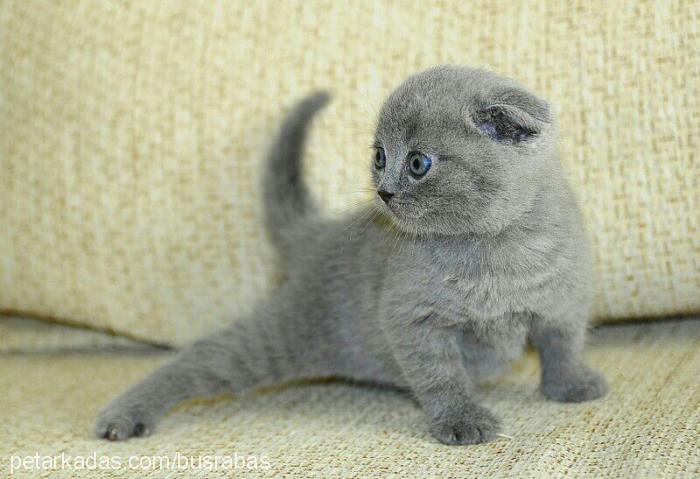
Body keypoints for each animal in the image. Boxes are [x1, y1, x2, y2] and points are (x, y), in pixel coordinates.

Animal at [95, 64, 604, 446]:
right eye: (379, 157)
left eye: (418, 163)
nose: (384, 192)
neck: (492, 246)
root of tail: (317, 234)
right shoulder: (411, 316)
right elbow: (439, 375)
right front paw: (461, 420)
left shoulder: (565, 298)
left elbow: (562, 345)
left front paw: (571, 386)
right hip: (285, 334)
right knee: (206, 356)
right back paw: (122, 415)